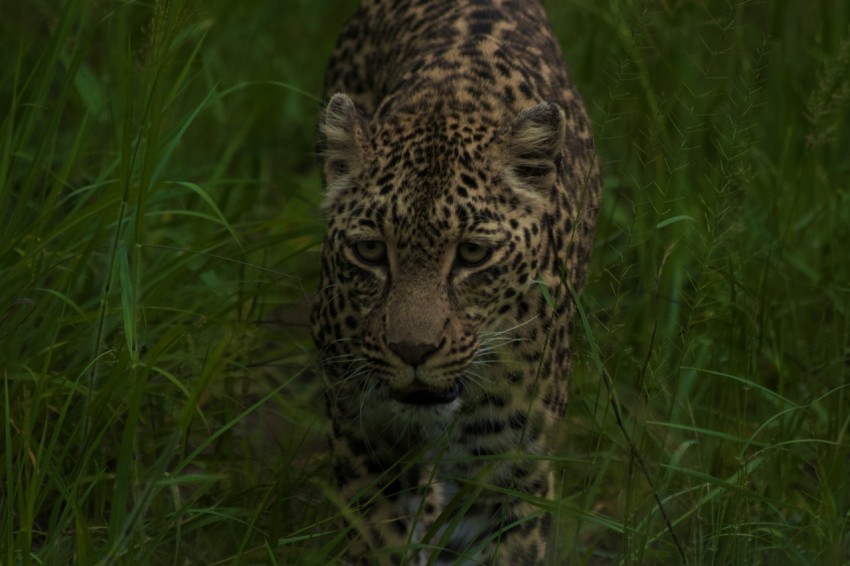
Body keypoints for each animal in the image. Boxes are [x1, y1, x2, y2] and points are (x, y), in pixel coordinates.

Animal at [310, 1, 596, 564]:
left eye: (472, 254)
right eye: (370, 250)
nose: (412, 351)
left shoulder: (510, 468)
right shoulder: (365, 438)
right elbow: (380, 539)